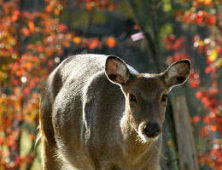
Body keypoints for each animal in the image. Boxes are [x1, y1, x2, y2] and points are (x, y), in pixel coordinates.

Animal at [38, 54, 191, 170]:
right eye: (132, 96)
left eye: (164, 96)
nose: (151, 128)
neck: (129, 158)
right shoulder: (99, 160)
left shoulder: (152, 163)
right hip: (47, 139)